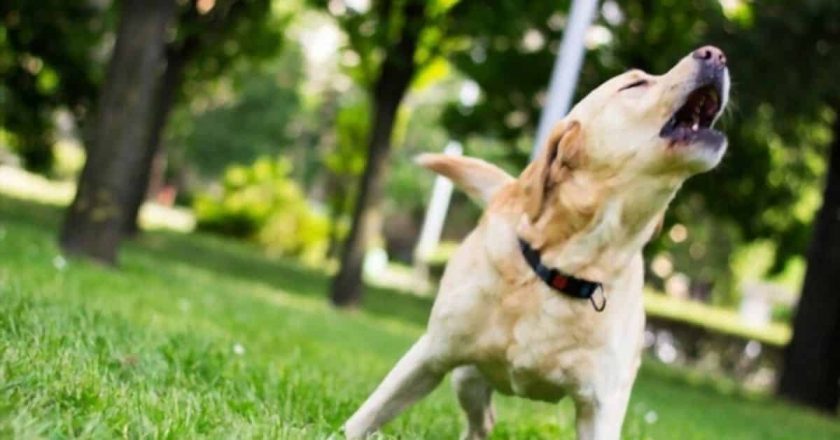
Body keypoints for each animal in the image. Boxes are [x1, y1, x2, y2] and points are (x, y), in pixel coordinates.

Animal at [344, 46, 732, 438]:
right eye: (635, 84)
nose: (715, 53)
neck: (566, 269)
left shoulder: (601, 406)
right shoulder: (431, 353)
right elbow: (367, 415)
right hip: (466, 377)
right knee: (480, 420)